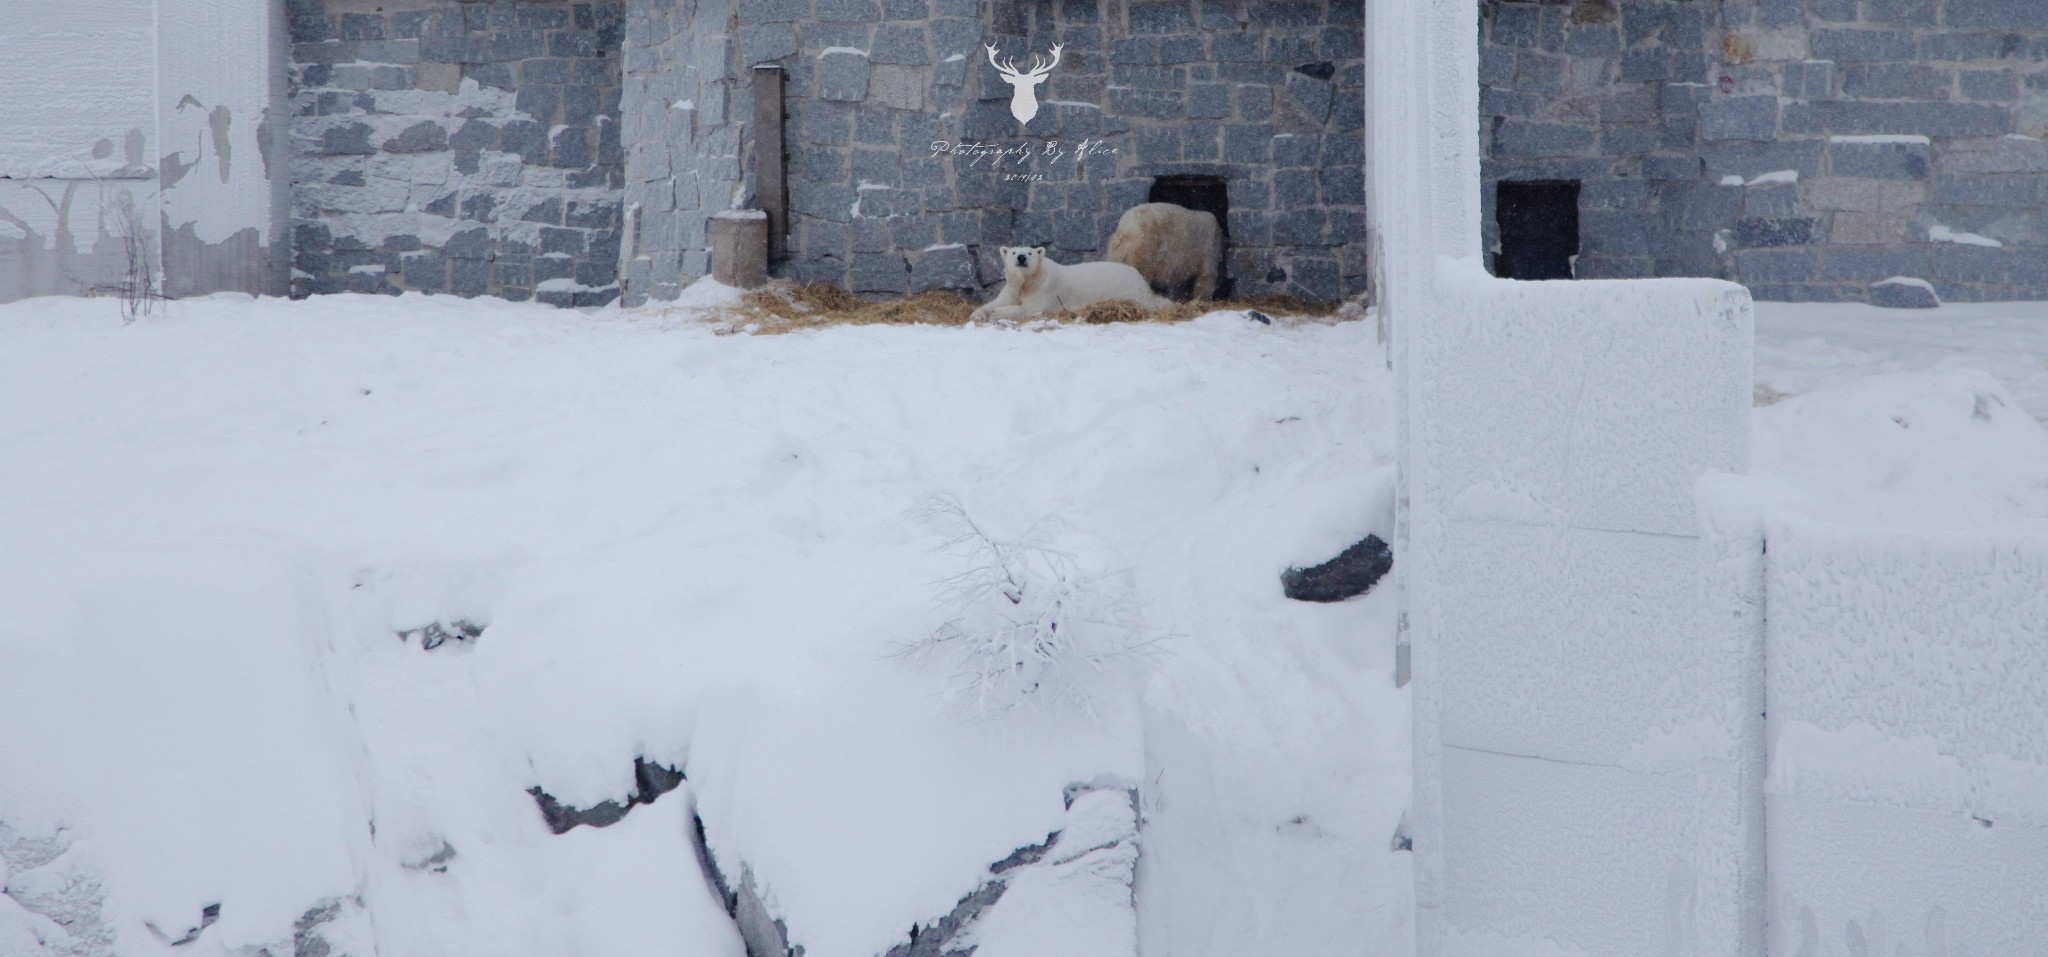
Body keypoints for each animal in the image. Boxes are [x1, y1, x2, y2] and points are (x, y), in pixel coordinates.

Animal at [962, 244, 1171, 323]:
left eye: (1029, 252)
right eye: (1013, 252)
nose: (1021, 257)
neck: (1029, 281)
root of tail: (1139, 277)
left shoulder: (1045, 288)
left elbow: (1031, 309)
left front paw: (999, 313)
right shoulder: (1013, 287)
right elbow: (998, 301)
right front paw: (977, 313)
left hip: (1128, 289)